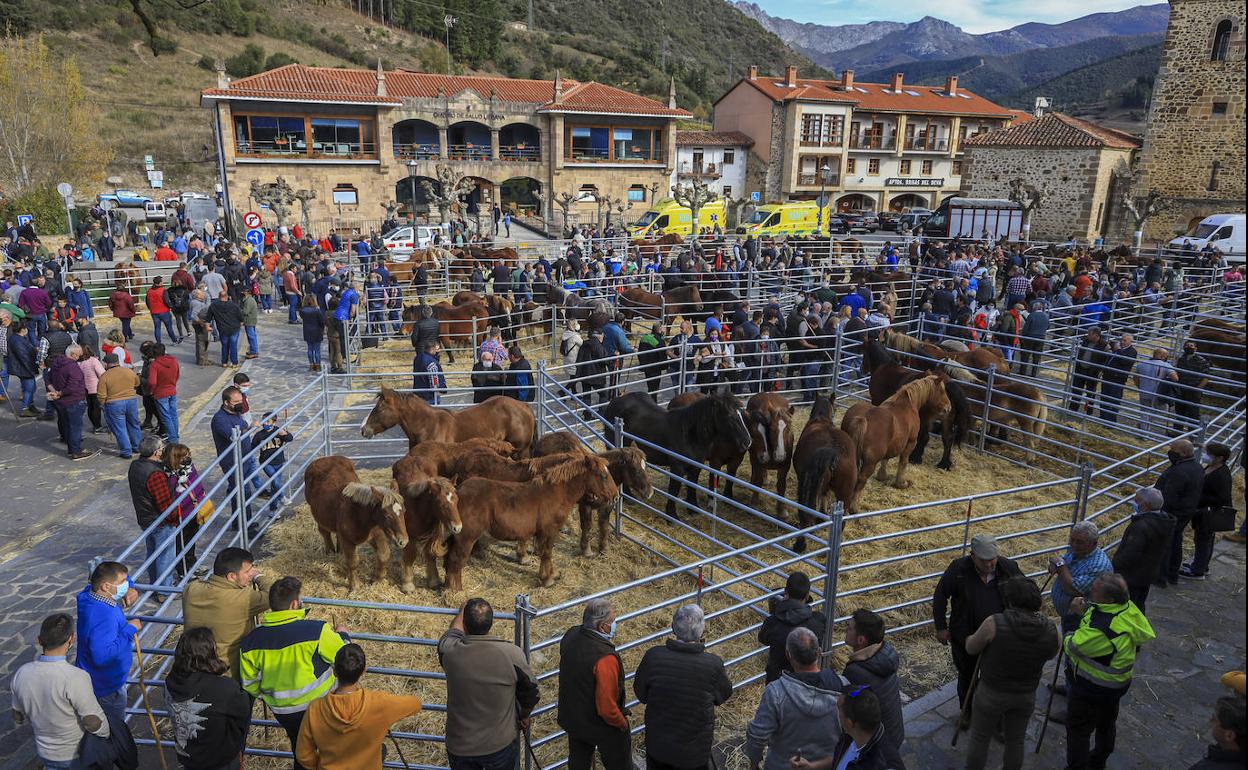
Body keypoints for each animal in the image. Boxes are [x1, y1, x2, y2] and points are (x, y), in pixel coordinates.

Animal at [303, 454, 409, 591]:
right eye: (387, 515)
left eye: (404, 511)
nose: (403, 541)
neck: (358, 514)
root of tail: (324, 458)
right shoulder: (348, 541)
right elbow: (353, 562)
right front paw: (354, 585)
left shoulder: (377, 535)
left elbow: (384, 555)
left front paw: (377, 580)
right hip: (319, 515)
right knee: (324, 531)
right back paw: (330, 551)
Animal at [449, 456, 624, 589]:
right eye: (603, 475)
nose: (616, 496)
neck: (556, 494)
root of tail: (459, 491)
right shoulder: (549, 531)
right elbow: (546, 554)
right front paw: (547, 579)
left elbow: (546, 553)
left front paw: (552, 574)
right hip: (466, 538)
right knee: (455, 561)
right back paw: (455, 590)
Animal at [601, 389, 748, 516]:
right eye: (729, 416)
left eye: (743, 414)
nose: (747, 441)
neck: (689, 435)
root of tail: (615, 401)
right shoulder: (677, 468)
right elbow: (674, 490)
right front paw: (671, 515)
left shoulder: (696, 467)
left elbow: (692, 486)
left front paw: (693, 509)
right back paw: (629, 498)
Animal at [788, 396, 858, 551]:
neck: (821, 420)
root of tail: (833, 450)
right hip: (845, 493)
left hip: (806, 485)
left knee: (806, 510)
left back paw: (800, 543)